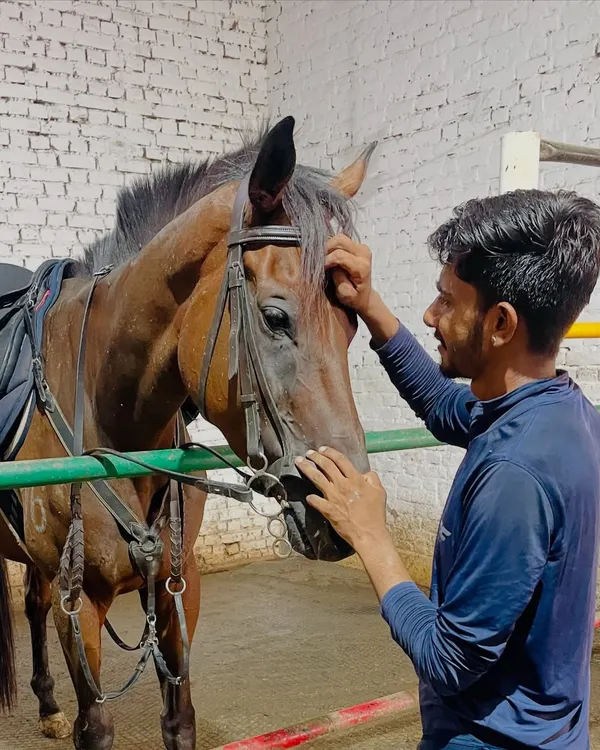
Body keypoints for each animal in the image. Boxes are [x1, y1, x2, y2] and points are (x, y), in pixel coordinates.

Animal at [0, 116, 373, 750]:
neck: (110, 414)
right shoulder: (80, 605)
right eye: (275, 317)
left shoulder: (181, 587)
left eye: (352, 321)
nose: (340, 515)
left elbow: (180, 720)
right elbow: (95, 727)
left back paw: (47, 704)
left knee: (30, 601)